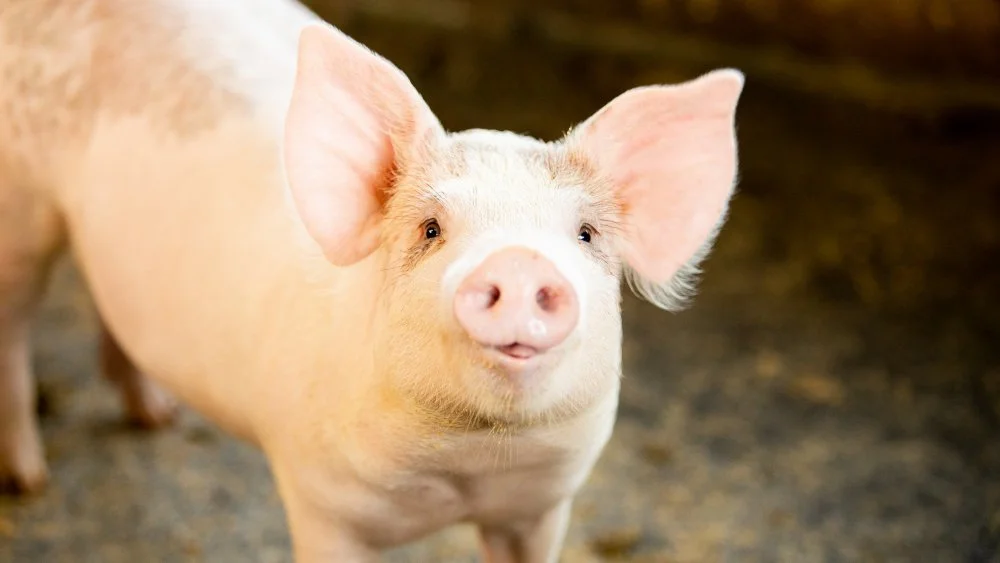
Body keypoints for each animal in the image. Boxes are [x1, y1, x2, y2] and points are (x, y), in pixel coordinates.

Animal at [0, 0, 744, 561]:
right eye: (431, 229)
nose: (517, 259)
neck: (465, 471)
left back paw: (156, 417)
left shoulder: (541, 507)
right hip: (21, 207)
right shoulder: (320, 502)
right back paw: (29, 482)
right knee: (16, 327)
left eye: (585, 235)